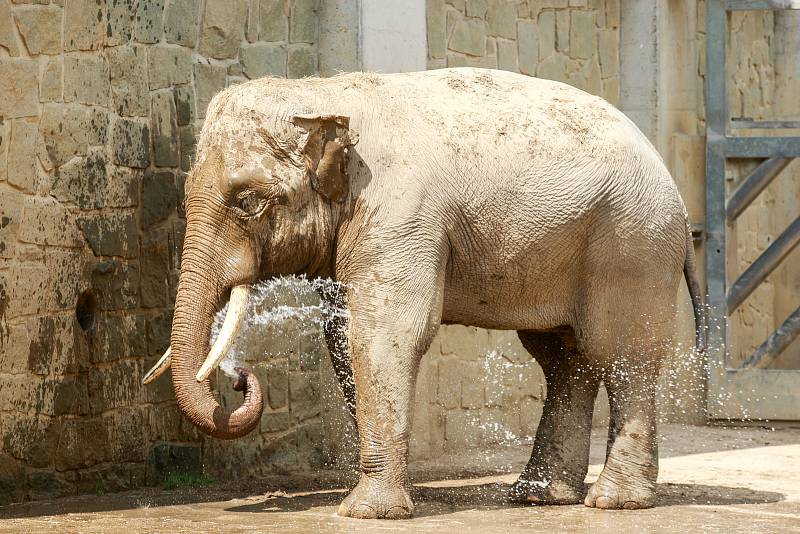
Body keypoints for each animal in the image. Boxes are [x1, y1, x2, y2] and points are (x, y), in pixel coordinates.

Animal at [144, 66, 708, 520]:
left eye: (249, 201)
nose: (240, 377)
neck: (322, 92)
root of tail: (677, 193)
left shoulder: (399, 213)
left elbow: (385, 334)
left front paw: (366, 512)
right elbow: (344, 339)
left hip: (632, 245)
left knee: (621, 356)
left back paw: (614, 501)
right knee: (564, 358)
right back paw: (538, 496)